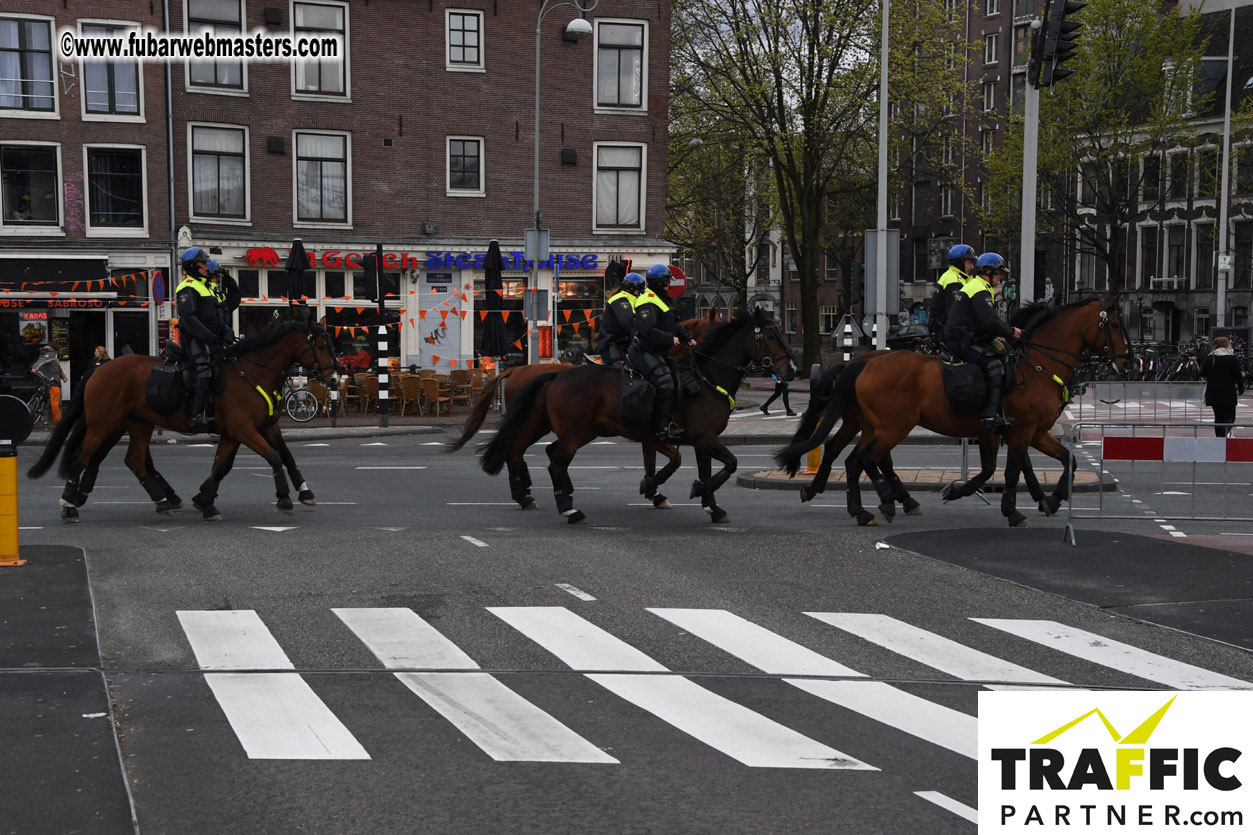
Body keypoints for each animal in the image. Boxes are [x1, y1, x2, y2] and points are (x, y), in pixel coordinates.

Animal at [29, 310, 340, 521]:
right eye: (321, 346)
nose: (335, 378)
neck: (250, 372)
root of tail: (101, 367)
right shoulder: (243, 430)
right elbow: (273, 457)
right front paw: (285, 498)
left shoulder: (255, 428)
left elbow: (233, 464)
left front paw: (206, 500)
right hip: (102, 425)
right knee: (84, 457)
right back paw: (70, 504)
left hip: (137, 425)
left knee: (134, 460)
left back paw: (162, 500)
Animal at [476, 308, 791, 524]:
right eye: (770, 335)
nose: (792, 369)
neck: (704, 379)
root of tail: (556, 375)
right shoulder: (694, 436)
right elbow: (724, 464)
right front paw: (679, 490)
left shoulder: (697, 439)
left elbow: (701, 467)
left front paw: (709, 504)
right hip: (570, 432)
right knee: (550, 461)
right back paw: (568, 508)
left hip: (564, 429)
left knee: (531, 452)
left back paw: (536, 495)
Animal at [776, 295, 1132, 524]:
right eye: (1115, 324)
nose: (1129, 361)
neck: (1035, 365)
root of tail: (862, 363)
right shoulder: (1021, 430)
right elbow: (1011, 471)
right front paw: (1013, 509)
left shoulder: (1026, 432)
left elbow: (1058, 462)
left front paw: (1049, 499)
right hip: (891, 427)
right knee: (863, 459)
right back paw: (885, 503)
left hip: (869, 424)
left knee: (850, 457)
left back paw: (862, 506)